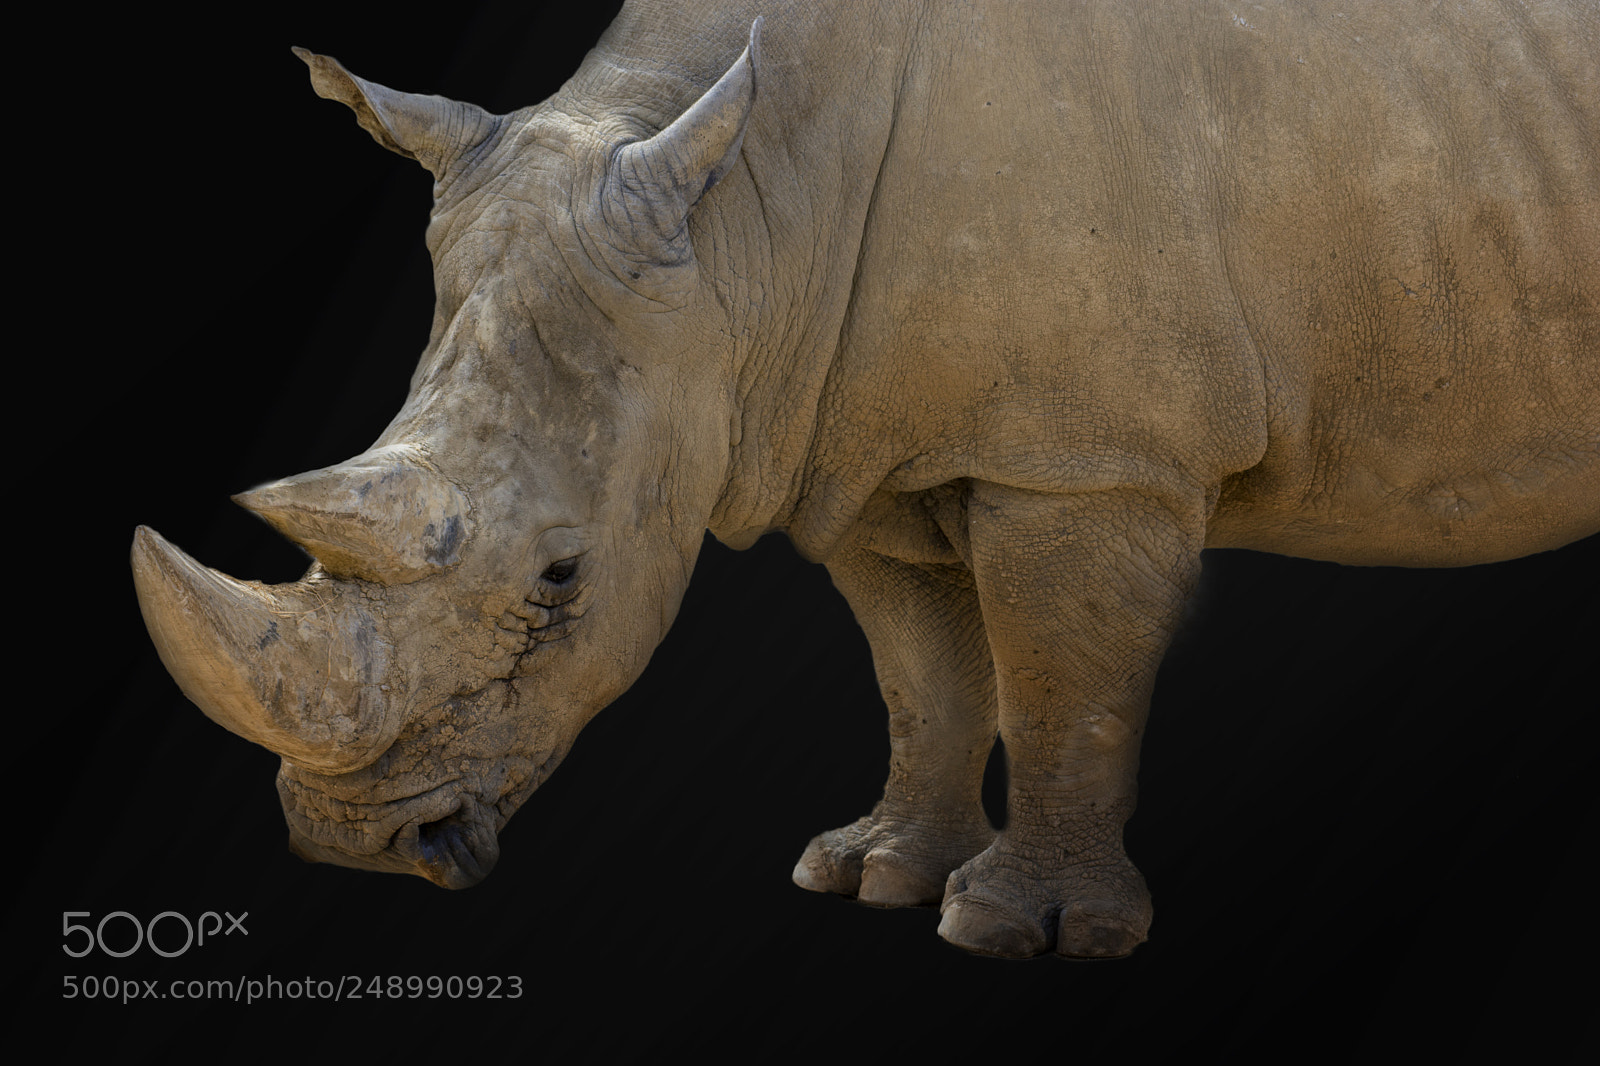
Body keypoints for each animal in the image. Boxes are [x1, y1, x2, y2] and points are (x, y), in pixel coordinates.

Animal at [131, 0, 1598, 959]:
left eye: (560, 577)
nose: (354, 845)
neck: (744, 218)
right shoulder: (864, 454)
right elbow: (922, 673)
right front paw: (876, 877)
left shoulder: (1086, 460)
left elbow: (1063, 680)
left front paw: (1023, 929)